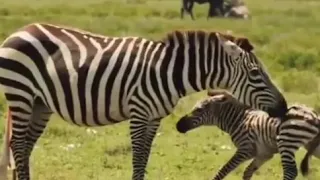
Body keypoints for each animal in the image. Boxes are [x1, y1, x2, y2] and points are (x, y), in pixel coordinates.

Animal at [0, 22, 288, 180]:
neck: (167, 72)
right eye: (255, 74)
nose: (284, 108)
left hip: (40, 103)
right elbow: (138, 157)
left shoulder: (154, 117)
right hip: (21, 94)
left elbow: (146, 156)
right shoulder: (139, 112)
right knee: (18, 146)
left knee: (25, 147)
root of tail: (21, 30)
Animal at [176, 90, 318, 180]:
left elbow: (224, 169)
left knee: (291, 171)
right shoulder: (263, 153)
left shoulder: (245, 149)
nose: (178, 126)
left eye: (198, 110)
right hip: (314, 147)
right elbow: (247, 172)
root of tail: (314, 116)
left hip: (287, 143)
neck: (239, 120)